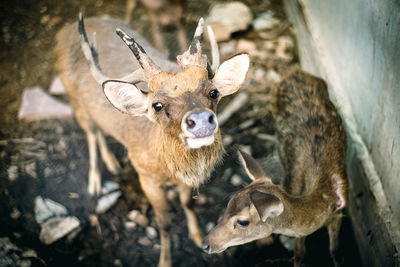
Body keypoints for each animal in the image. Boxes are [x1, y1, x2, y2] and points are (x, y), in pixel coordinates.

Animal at [54, 13, 250, 267]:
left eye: (213, 92)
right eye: (157, 105)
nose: (200, 120)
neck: (166, 167)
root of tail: (63, 31)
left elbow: (188, 203)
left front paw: (198, 237)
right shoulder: (145, 177)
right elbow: (164, 223)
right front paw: (165, 260)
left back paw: (112, 164)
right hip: (74, 98)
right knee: (90, 131)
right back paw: (96, 181)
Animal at [202, 69, 348, 267]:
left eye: (243, 222)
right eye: (228, 204)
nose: (205, 244)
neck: (325, 194)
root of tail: (294, 72)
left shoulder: (340, 212)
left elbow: (335, 251)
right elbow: (299, 253)